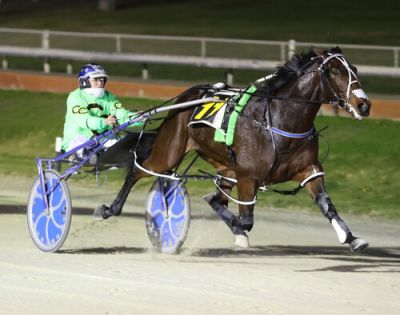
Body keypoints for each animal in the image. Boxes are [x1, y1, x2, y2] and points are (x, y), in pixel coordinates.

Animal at [94, 47, 372, 253]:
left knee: (215, 198)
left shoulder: (309, 170)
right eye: (335, 70)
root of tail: (183, 99)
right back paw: (107, 209)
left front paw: (351, 238)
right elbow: (247, 219)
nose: (364, 104)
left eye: (355, 69)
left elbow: (327, 205)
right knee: (136, 171)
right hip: (169, 152)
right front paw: (238, 228)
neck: (280, 120)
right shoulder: (248, 177)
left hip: (226, 167)